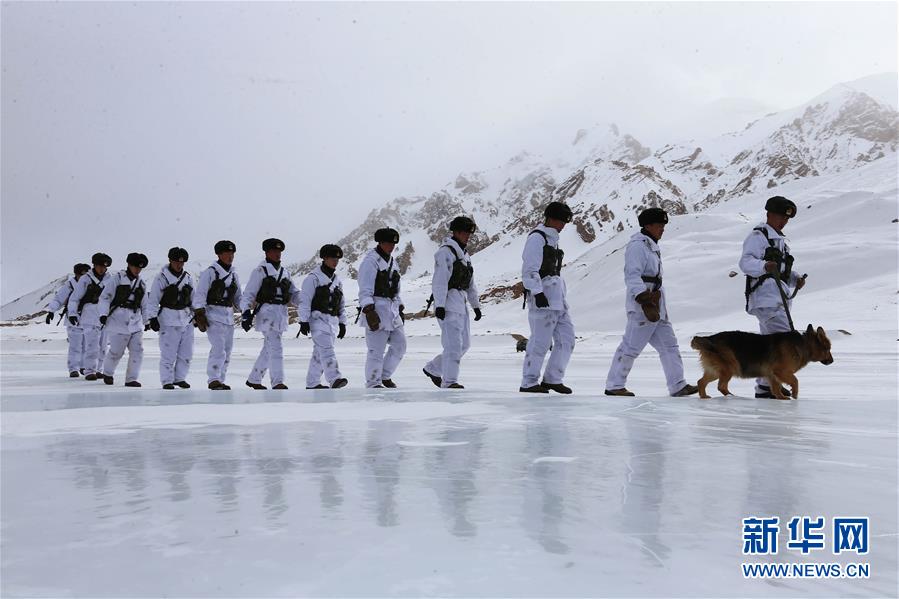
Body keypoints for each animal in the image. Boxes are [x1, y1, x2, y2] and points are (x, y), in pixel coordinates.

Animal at [692, 326, 832, 400]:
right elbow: (795, 381)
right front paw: (794, 395)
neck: (804, 344)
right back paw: (733, 397)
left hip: (715, 371)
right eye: (828, 349)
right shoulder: (781, 371)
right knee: (721, 386)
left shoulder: (772, 375)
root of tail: (709, 338)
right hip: (730, 367)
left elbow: (776, 389)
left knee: (701, 382)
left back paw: (704, 396)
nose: (832, 361)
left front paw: (782, 398)